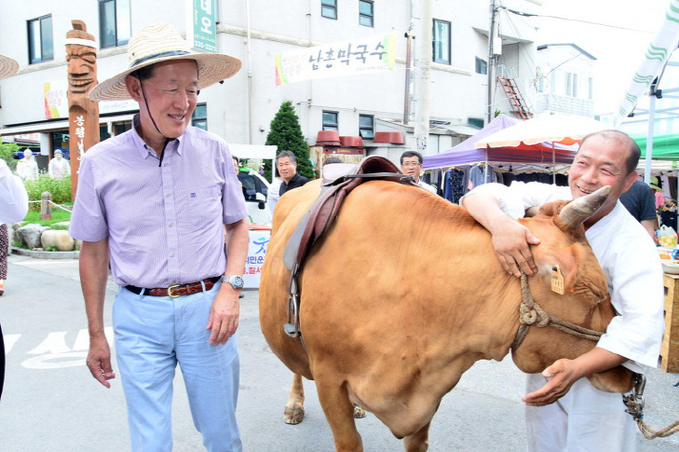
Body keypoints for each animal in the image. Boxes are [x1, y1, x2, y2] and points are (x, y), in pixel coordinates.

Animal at [262, 178, 636, 450]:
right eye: (596, 291)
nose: (629, 375)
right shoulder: (329, 378)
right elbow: (349, 440)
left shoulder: (429, 389)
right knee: (295, 365)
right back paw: (294, 405)